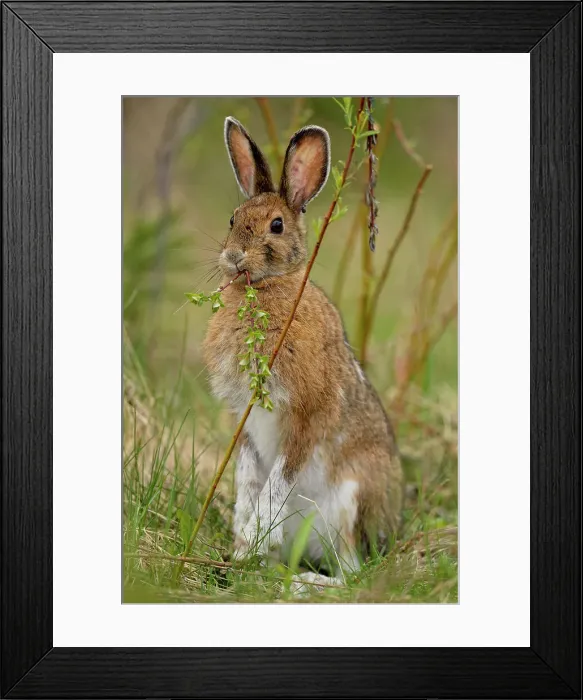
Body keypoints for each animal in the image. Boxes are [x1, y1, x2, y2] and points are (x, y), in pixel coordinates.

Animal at [203, 116, 403, 583]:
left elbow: (278, 478)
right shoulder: (247, 423)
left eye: (276, 225)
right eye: (234, 217)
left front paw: (253, 532)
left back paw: (302, 582)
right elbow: (247, 480)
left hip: (349, 502)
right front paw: (242, 538)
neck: (266, 287)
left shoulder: (306, 415)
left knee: (350, 575)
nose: (233, 257)